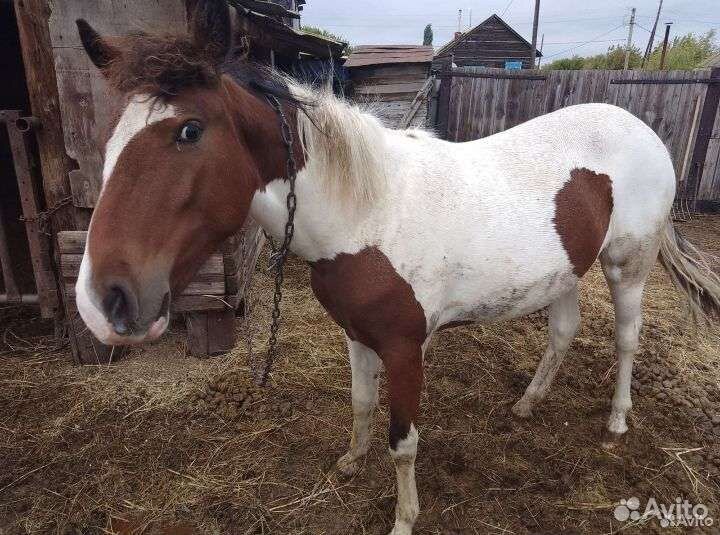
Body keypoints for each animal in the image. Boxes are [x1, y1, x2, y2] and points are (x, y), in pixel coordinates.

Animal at [74, 2, 720, 533]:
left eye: (188, 130)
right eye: (110, 135)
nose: (104, 300)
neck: (367, 214)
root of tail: (643, 130)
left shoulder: (407, 348)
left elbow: (403, 441)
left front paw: (404, 519)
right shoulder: (357, 335)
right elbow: (362, 404)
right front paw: (349, 461)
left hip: (626, 267)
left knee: (626, 339)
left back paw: (616, 423)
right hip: (563, 270)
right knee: (563, 331)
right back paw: (527, 404)